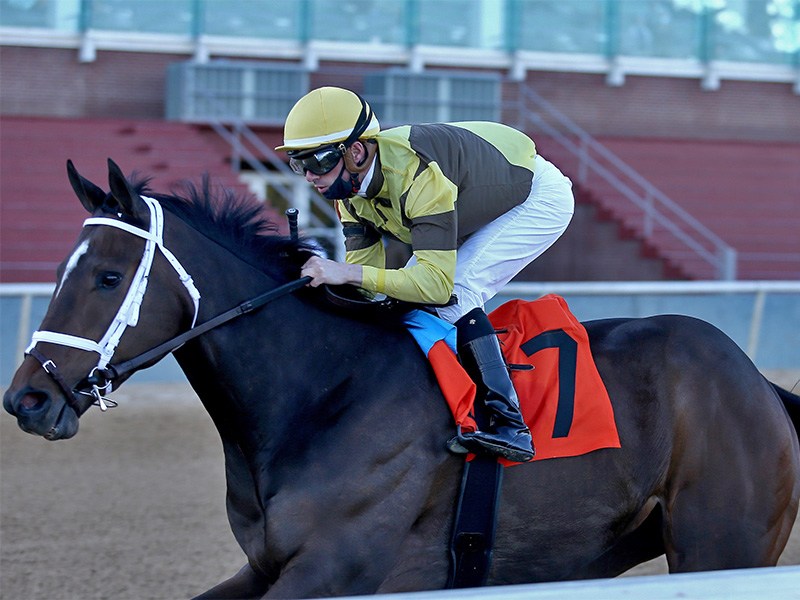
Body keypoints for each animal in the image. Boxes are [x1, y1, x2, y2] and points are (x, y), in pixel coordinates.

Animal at [4, 161, 800, 600]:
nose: (27, 398)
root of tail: (760, 385)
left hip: (719, 546)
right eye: (62, 271)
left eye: (108, 278)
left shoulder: (335, 570)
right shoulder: (266, 567)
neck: (321, 392)